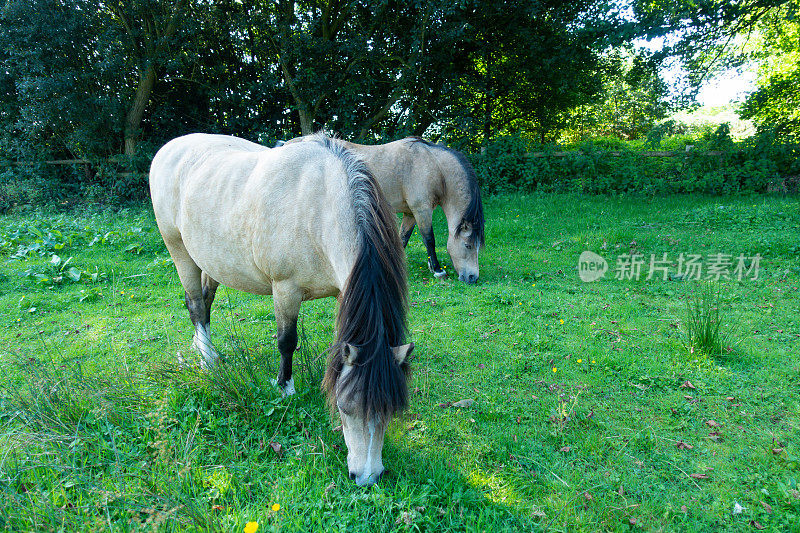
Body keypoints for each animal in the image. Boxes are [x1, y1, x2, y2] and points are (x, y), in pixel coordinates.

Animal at [148, 133, 412, 486]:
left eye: (391, 411)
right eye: (345, 408)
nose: (367, 477)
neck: (319, 204)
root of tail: (170, 147)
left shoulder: (343, 293)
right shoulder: (285, 290)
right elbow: (287, 341)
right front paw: (285, 388)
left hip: (212, 260)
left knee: (205, 302)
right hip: (179, 251)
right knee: (195, 306)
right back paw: (208, 359)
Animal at [284, 137, 484, 282]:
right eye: (468, 245)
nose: (472, 277)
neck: (433, 165)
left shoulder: (410, 213)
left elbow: (403, 238)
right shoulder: (422, 210)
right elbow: (429, 239)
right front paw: (437, 270)